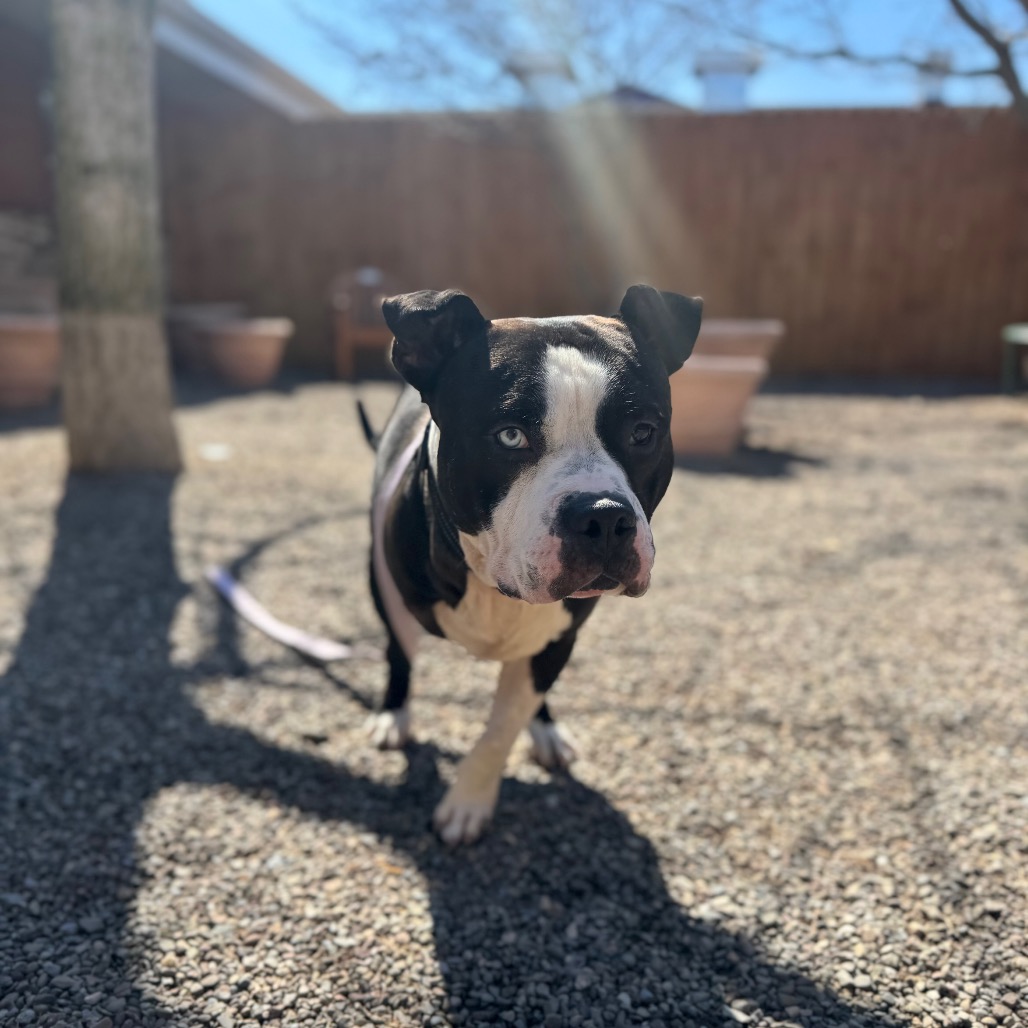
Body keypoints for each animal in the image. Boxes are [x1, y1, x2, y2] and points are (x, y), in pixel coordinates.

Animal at [366, 284, 702, 845]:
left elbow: (500, 729)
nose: (603, 517)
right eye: (510, 436)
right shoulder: (391, 593)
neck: (488, 580)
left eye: (642, 432)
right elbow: (399, 654)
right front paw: (396, 714)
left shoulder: (557, 639)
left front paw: (468, 802)